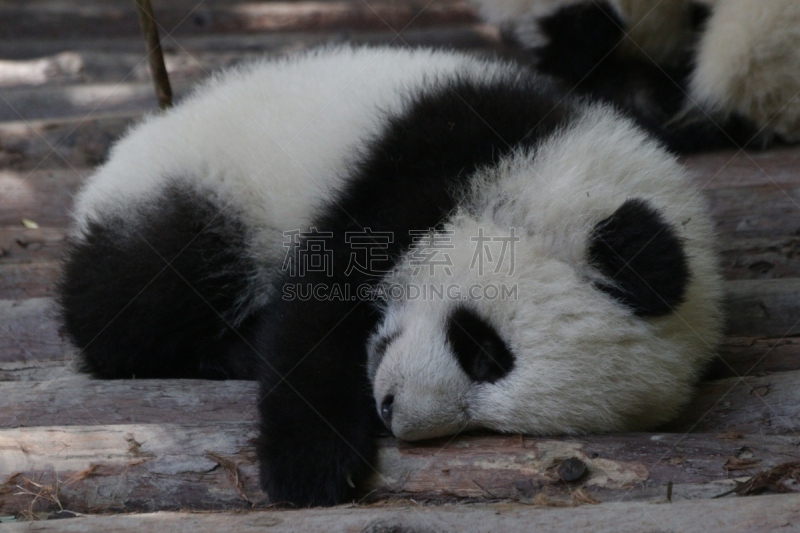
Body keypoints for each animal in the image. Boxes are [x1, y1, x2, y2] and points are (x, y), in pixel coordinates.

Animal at [57, 44, 724, 502]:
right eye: (484, 351)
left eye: (494, 415)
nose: (393, 411)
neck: (559, 169)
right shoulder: (422, 158)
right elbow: (316, 305)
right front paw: (309, 465)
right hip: (208, 187)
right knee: (140, 297)